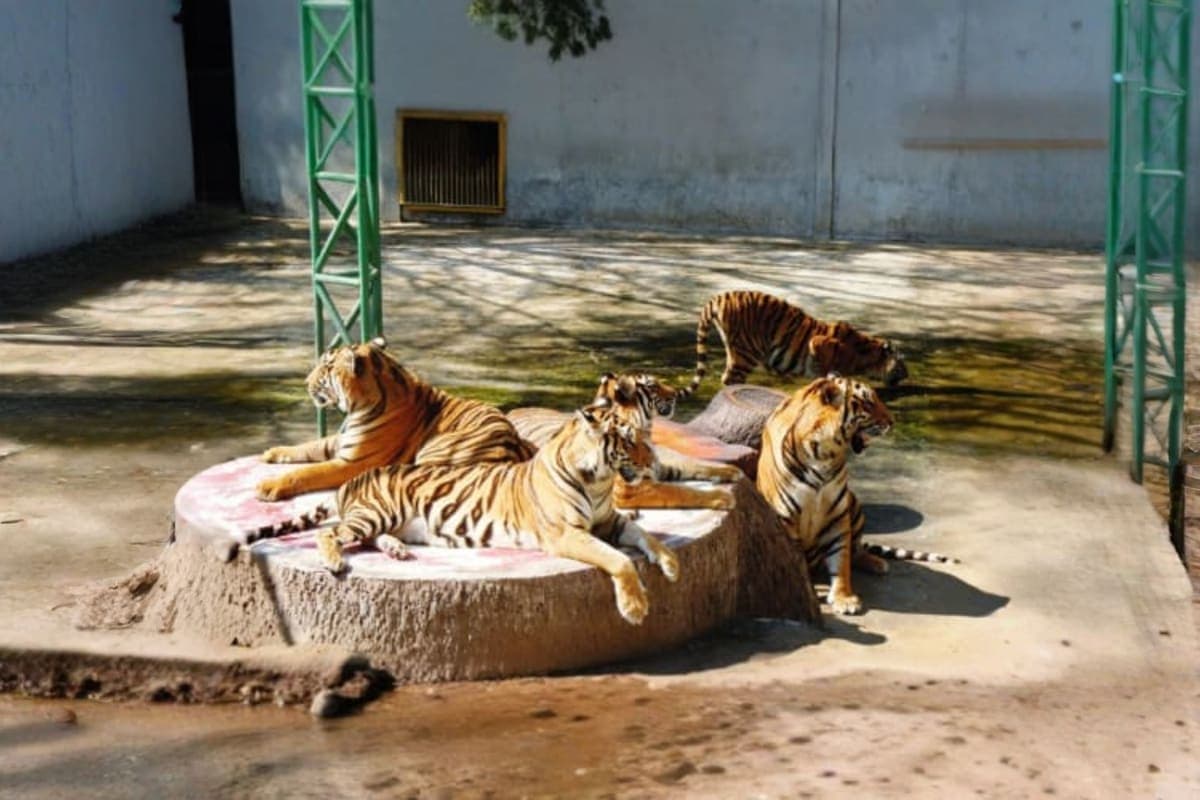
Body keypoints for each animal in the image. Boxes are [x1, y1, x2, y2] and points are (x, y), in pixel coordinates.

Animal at [248, 402, 677, 625]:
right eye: (628, 441)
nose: (651, 462)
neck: (599, 480)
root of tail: (353, 480)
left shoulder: (609, 519)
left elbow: (645, 536)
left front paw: (670, 563)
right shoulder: (567, 533)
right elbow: (619, 559)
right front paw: (635, 607)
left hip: (385, 520)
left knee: (368, 537)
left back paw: (397, 551)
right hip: (375, 511)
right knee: (330, 533)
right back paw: (335, 561)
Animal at [255, 338, 534, 501]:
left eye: (325, 367)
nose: (304, 382)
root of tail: (513, 451)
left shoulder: (352, 462)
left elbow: (306, 472)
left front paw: (269, 486)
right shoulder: (342, 440)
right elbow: (310, 445)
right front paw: (272, 451)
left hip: (434, 452)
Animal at [507, 372, 743, 511]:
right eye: (653, 385)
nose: (675, 394)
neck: (645, 429)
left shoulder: (658, 464)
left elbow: (693, 464)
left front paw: (732, 471)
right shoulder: (631, 488)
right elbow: (682, 492)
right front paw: (722, 497)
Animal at [676, 289, 908, 402]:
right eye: (902, 364)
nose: (907, 376)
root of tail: (718, 297)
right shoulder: (819, 343)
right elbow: (827, 372)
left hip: (735, 349)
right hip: (746, 352)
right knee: (730, 379)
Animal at [755, 373, 950, 615]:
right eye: (868, 402)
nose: (892, 421)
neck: (822, 455)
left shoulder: (837, 512)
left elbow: (842, 558)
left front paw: (844, 599)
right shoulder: (786, 517)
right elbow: (797, 560)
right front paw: (810, 590)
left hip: (854, 502)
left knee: (856, 550)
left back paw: (877, 563)